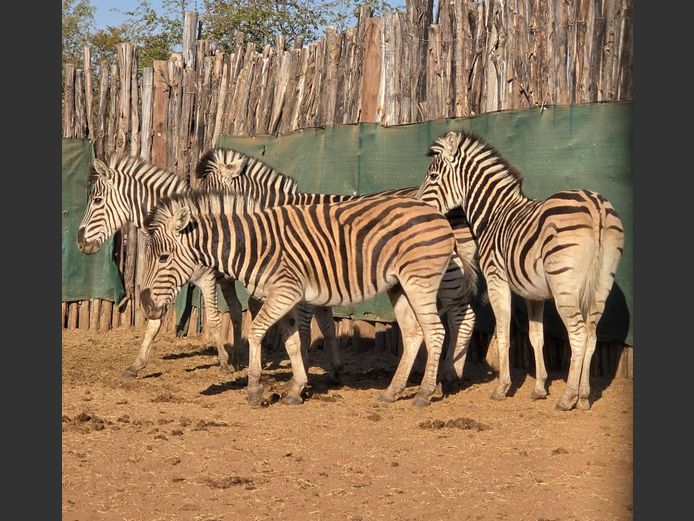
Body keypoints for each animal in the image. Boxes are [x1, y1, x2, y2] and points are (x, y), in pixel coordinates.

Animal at [76, 155, 243, 377]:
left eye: (97, 200)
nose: (80, 242)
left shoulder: (205, 277)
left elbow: (214, 319)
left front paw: (224, 363)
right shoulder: (164, 278)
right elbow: (154, 321)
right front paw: (136, 365)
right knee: (237, 309)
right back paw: (240, 358)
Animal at [140, 192, 459, 408]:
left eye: (164, 258)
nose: (146, 305)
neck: (253, 246)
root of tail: (438, 213)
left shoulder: (285, 292)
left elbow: (256, 333)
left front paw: (254, 390)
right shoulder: (287, 299)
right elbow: (292, 342)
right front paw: (296, 389)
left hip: (420, 282)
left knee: (435, 332)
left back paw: (424, 393)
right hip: (398, 286)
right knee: (414, 333)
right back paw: (392, 392)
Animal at [194, 148, 479, 391]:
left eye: (210, 192)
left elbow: (305, 329)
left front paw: (302, 376)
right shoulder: (322, 279)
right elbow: (328, 326)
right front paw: (334, 370)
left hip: (444, 271)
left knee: (461, 317)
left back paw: (448, 374)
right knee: (461, 317)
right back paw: (449, 373)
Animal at [415, 131, 625, 411]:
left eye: (433, 177)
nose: (417, 206)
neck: (493, 215)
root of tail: (595, 205)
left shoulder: (497, 279)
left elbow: (503, 332)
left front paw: (502, 387)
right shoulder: (533, 294)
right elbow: (536, 337)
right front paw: (539, 388)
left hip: (565, 287)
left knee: (579, 335)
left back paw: (567, 397)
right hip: (602, 282)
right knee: (591, 335)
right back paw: (583, 397)